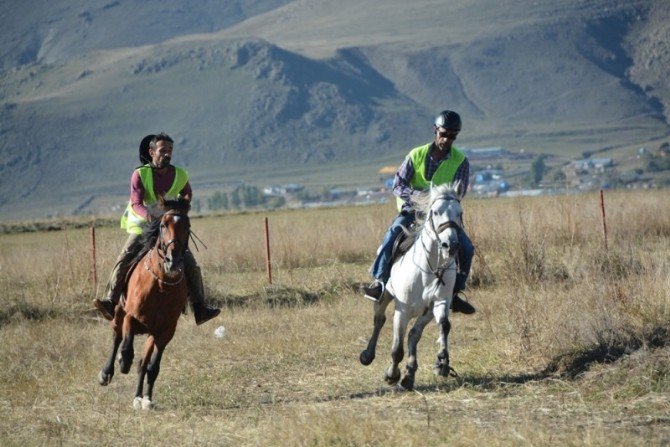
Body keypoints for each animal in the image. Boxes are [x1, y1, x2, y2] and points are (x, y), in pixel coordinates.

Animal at [97, 198, 193, 412]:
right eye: (163, 225)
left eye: (188, 226)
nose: (173, 261)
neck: (161, 286)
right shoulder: (131, 317)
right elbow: (126, 347)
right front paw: (123, 361)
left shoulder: (165, 331)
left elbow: (152, 366)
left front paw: (147, 399)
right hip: (118, 313)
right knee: (117, 338)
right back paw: (107, 372)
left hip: (151, 333)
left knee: (142, 363)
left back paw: (139, 397)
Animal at [360, 184, 464, 390]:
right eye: (436, 212)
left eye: (460, 213)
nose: (451, 245)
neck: (428, 268)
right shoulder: (402, 310)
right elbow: (397, 349)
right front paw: (391, 375)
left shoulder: (439, 302)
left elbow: (443, 325)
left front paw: (442, 362)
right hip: (384, 297)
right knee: (379, 320)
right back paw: (368, 355)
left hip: (426, 311)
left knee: (413, 334)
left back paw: (410, 375)